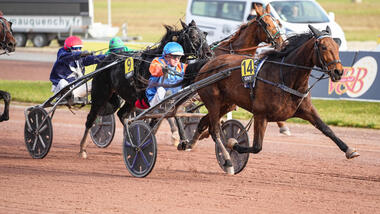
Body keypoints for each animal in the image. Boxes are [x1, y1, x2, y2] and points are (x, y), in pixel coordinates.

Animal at [78, 20, 212, 158]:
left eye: (204, 34)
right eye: (193, 36)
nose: (209, 53)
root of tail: (104, 61)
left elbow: (171, 114)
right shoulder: (155, 98)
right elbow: (170, 114)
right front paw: (181, 140)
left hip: (131, 99)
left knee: (122, 115)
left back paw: (130, 140)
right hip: (100, 94)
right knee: (91, 119)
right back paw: (83, 149)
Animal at [181, 25, 360, 175]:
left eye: (336, 46)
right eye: (323, 47)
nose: (338, 72)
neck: (285, 77)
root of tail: (207, 63)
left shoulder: (306, 110)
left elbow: (326, 129)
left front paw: (349, 150)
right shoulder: (261, 114)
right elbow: (256, 147)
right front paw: (233, 144)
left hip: (226, 104)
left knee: (204, 122)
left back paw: (189, 143)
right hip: (213, 101)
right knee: (216, 130)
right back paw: (227, 161)